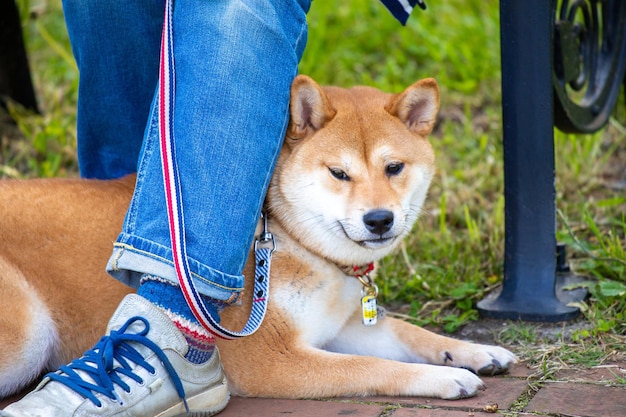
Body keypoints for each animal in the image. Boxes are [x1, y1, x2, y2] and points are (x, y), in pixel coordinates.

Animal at [0, 75, 512, 404]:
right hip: (27, 336)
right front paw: (444, 376)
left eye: (394, 168)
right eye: (339, 173)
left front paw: (475, 352)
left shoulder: (343, 325)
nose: (379, 219)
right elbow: (373, 368)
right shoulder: (272, 358)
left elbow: (411, 332)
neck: (291, 240)